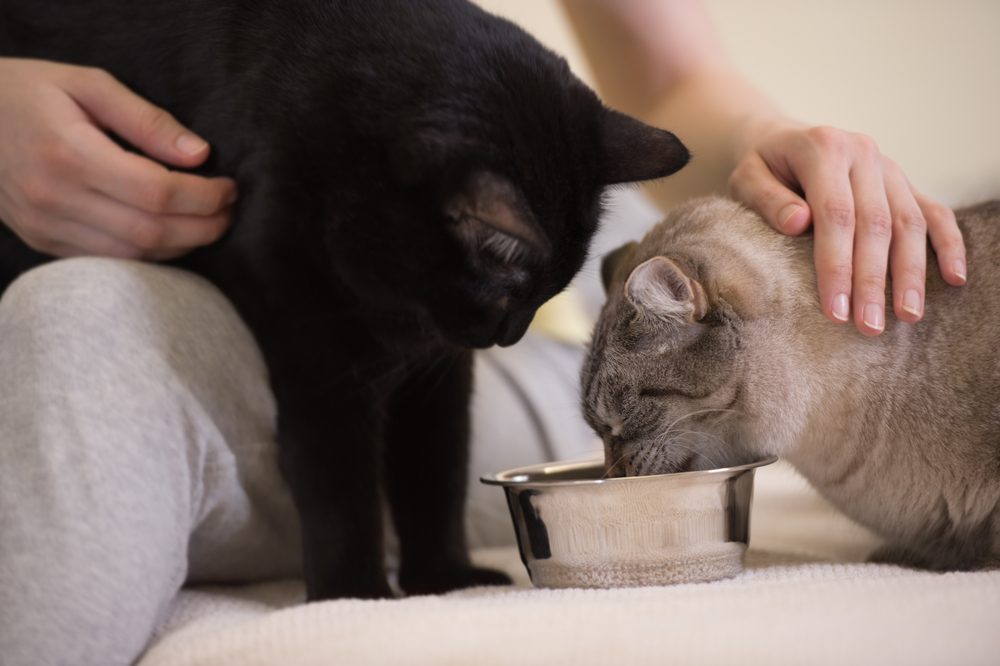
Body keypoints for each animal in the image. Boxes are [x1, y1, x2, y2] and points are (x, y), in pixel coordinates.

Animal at [0, 0, 688, 600]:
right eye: (509, 296)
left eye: (546, 296)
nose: (511, 335)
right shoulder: (318, 354)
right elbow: (338, 481)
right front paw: (353, 594)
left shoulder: (437, 371)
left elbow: (434, 468)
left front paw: (443, 580)